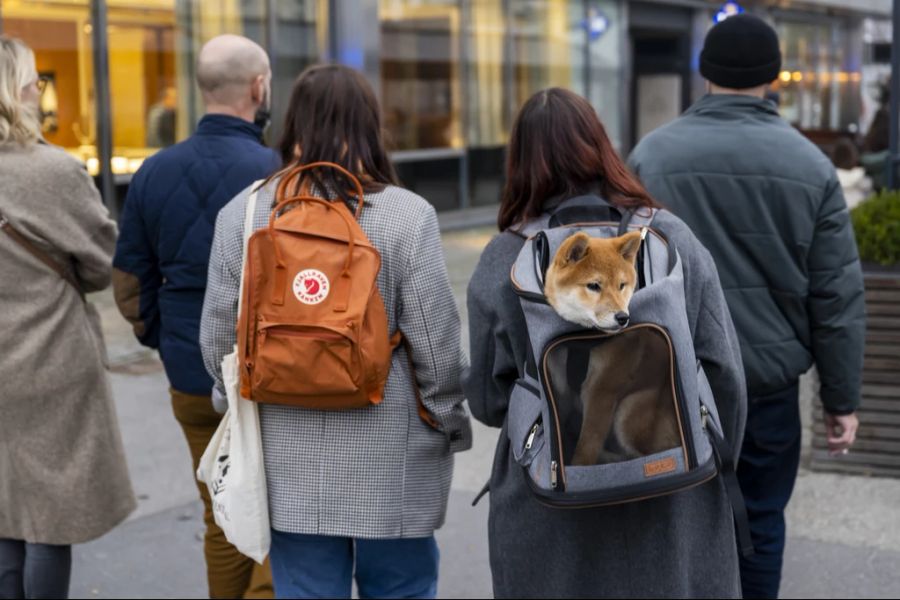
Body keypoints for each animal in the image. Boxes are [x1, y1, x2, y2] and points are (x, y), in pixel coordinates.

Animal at [540, 232, 676, 466]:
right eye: (594, 285)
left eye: (622, 285)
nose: (623, 317)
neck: (583, 342)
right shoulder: (560, 389)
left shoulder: (602, 391)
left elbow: (586, 448)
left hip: (628, 411)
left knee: (651, 454)